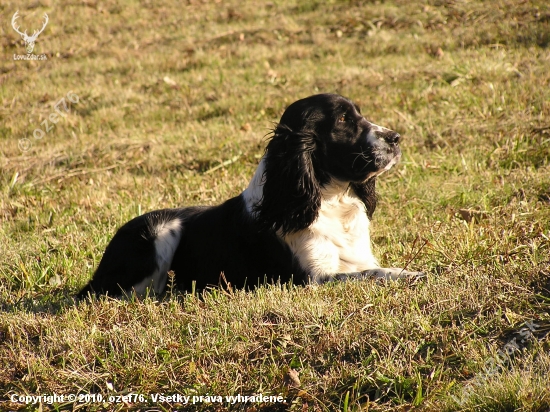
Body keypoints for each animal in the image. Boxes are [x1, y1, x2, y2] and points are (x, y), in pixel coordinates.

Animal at [77, 95, 424, 298]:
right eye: (342, 120)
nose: (396, 138)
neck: (329, 201)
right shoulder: (310, 279)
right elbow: (372, 274)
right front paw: (412, 274)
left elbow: (371, 268)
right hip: (160, 231)